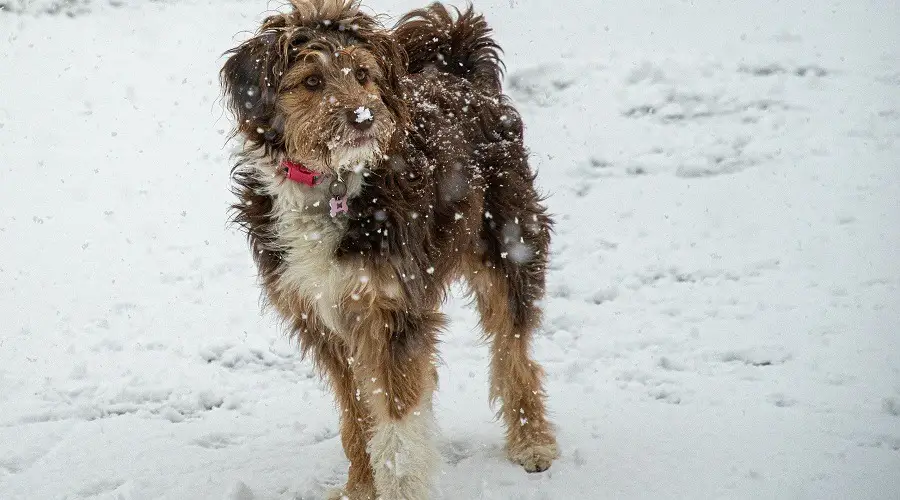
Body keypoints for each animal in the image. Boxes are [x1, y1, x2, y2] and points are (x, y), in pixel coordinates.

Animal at [220, 1, 556, 498]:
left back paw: (532, 441)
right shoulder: (322, 317)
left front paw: (397, 486)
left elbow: (396, 420)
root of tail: (458, 69)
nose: (363, 118)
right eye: (311, 81)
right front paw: (361, 486)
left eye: (362, 74)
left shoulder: (391, 307)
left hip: (510, 243)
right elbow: (358, 412)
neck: (332, 183)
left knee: (513, 351)